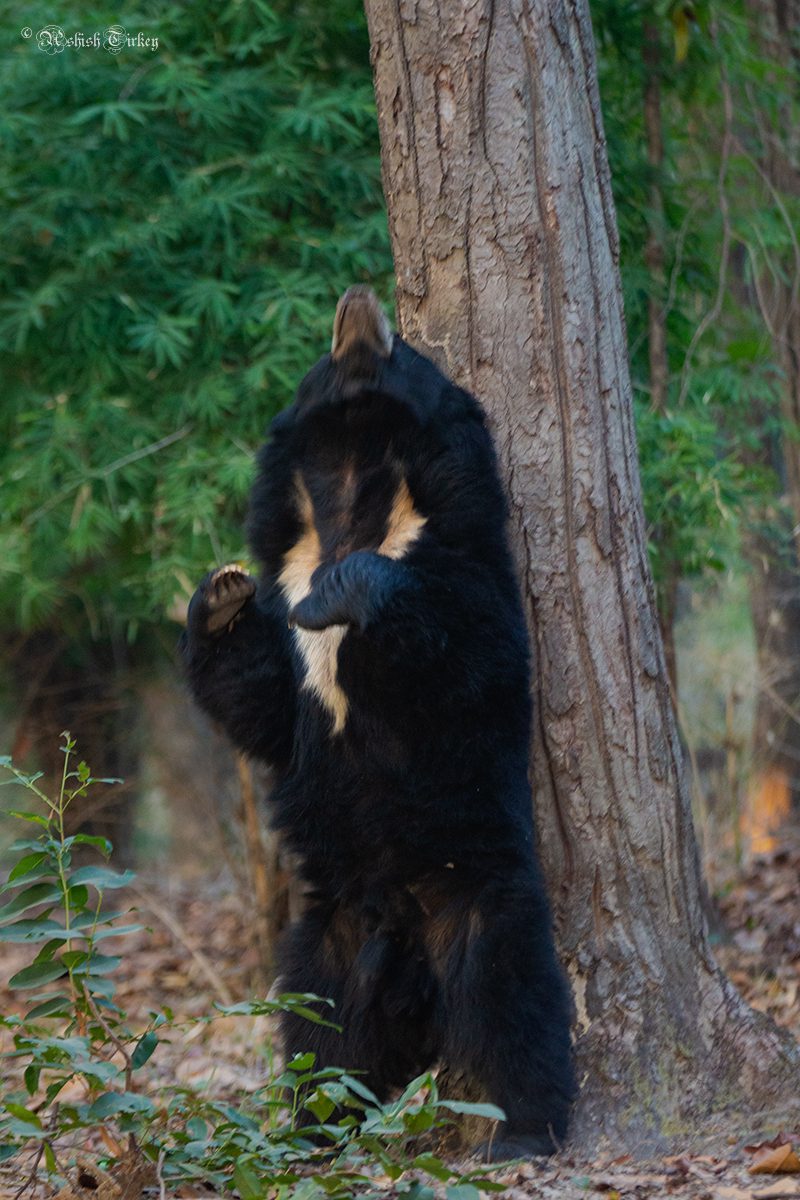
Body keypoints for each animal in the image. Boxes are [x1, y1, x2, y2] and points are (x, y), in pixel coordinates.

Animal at [181, 285, 575, 1156]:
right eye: (327, 353)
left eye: (406, 353)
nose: (358, 300)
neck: (358, 481)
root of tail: (410, 978)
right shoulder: (286, 588)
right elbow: (261, 705)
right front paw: (221, 591)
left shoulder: (459, 555)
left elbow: (463, 650)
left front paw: (337, 596)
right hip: (324, 939)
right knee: (318, 1035)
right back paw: (312, 1128)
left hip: (481, 897)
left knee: (513, 1002)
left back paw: (527, 1129)